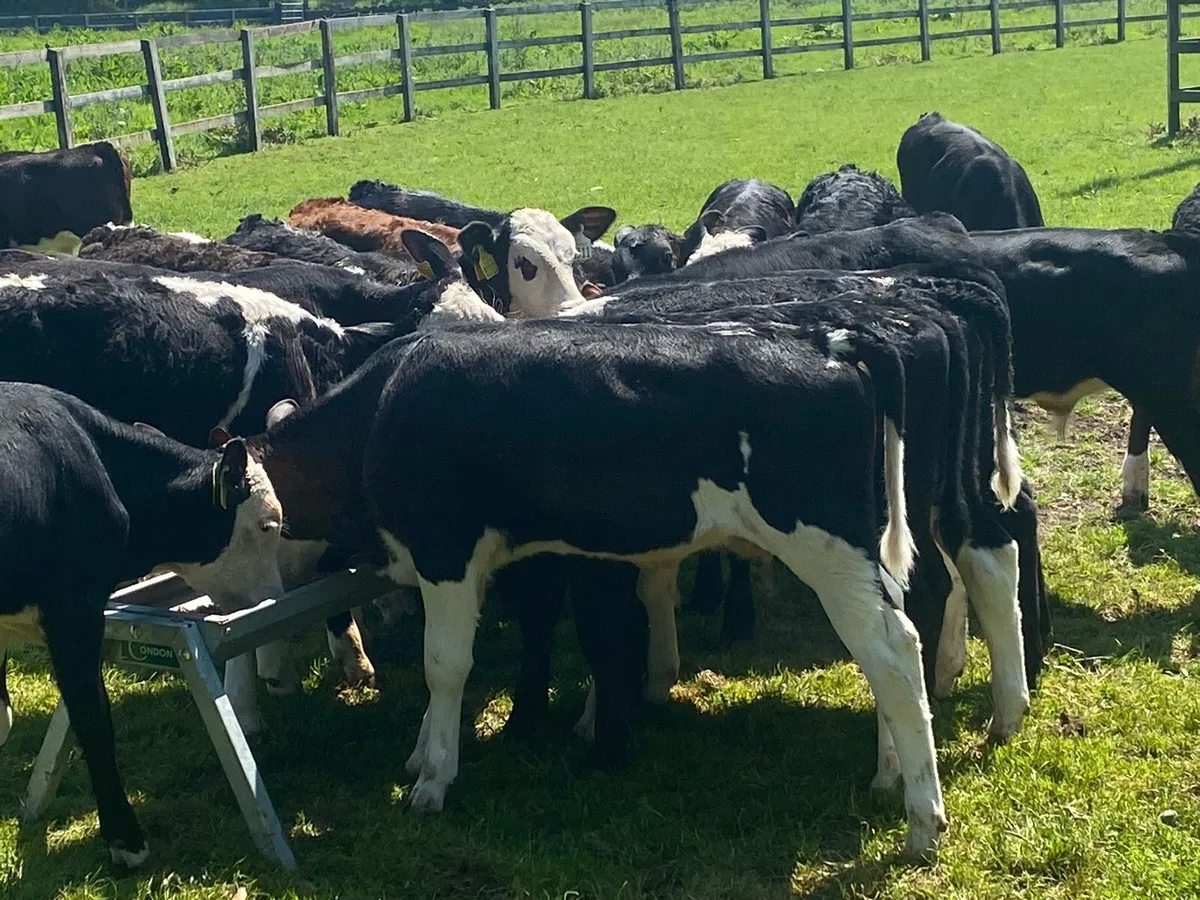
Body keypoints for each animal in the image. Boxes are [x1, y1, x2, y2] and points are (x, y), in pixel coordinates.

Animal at [253, 316, 949, 859]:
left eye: (259, 519)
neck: (383, 407)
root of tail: (828, 339)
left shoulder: (445, 551)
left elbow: (445, 664)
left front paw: (433, 779)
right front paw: (423, 751)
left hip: (823, 544)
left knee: (892, 650)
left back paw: (923, 821)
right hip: (860, 552)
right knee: (891, 638)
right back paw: (890, 773)